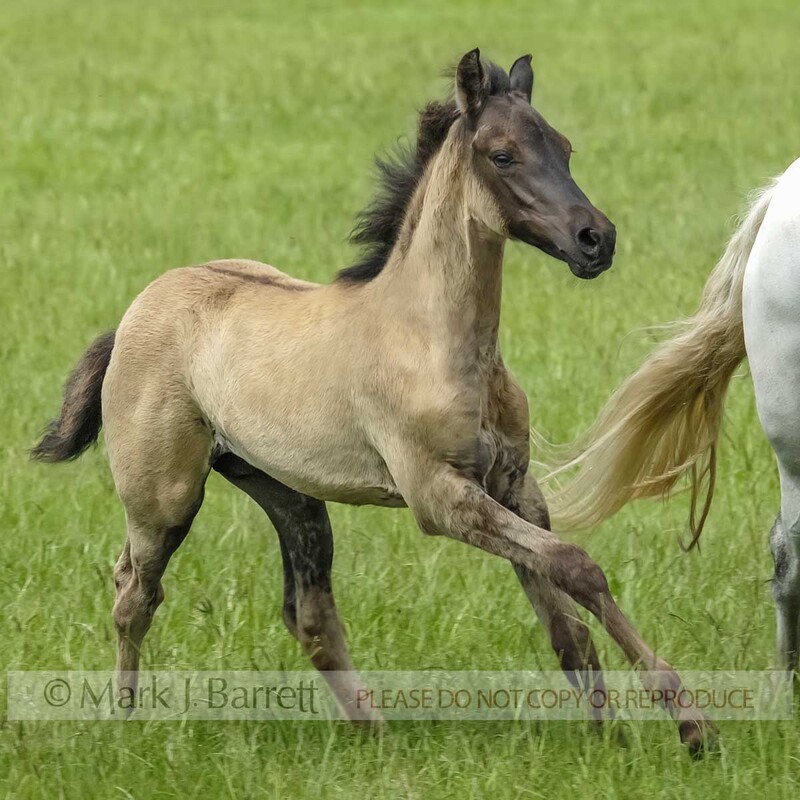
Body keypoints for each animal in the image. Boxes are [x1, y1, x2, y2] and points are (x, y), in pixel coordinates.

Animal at [32, 49, 713, 751]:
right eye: (502, 155)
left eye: (565, 147)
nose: (595, 239)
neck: (436, 340)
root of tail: (132, 314)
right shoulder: (440, 497)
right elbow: (578, 567)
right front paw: (687, 721)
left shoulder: (513, 487)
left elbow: (566, 619)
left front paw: (612, 738)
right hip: (164, 498)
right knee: (133, 593)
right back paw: (125, 723)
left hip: (290, 495)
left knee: (308, 613)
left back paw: (374, 731)